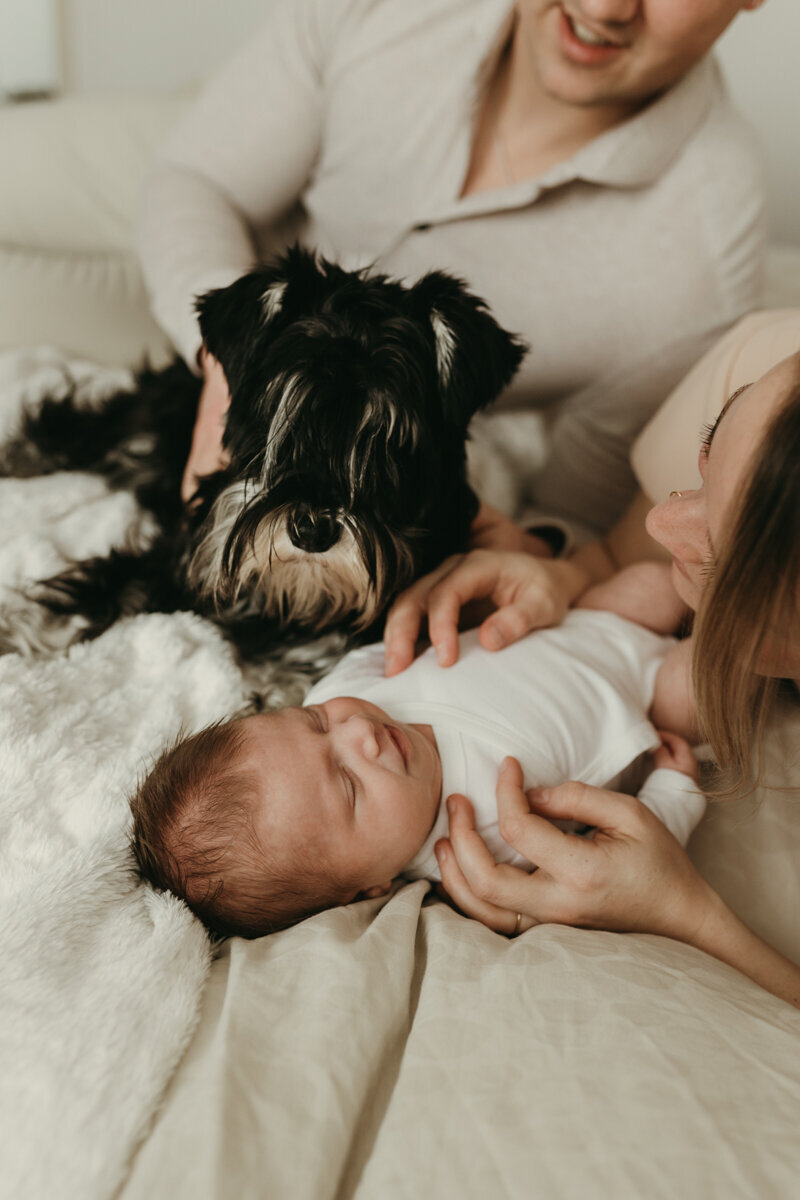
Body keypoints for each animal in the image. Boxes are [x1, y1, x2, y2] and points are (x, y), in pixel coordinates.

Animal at [1, 243, 525, 657]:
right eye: (277, 407)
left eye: (391, 439)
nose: (312, 530)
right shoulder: (181, 551)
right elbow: (101, 593)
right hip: (142, 423)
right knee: (64, 429)